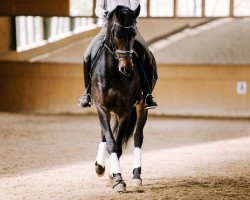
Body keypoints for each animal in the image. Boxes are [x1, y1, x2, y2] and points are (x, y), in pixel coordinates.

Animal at [92, 5, 154, 192]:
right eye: (117, 34)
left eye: (133, 34)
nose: (127, 68)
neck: (113, 73)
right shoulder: (102, 107)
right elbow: (110, 141)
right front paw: (112, 174)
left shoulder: (125, 110)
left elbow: (117, 144)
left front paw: (118, 178)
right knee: (105, 135)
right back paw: (101, 167)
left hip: (141, 107)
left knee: (138, 137)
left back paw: (136, 176)